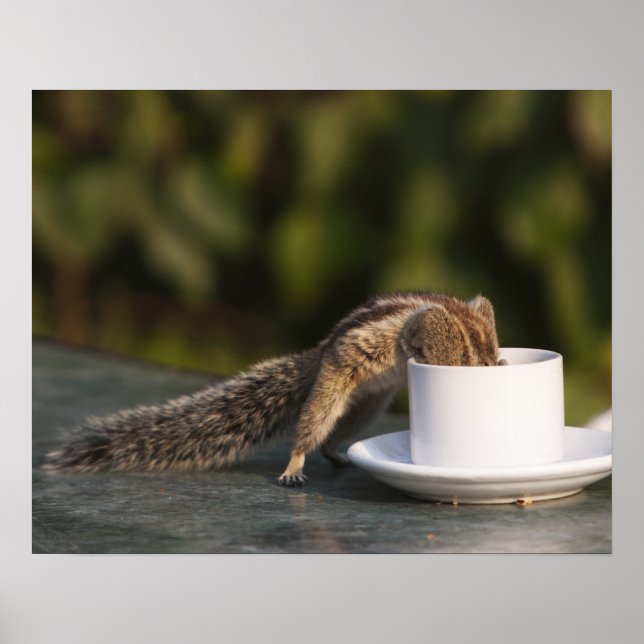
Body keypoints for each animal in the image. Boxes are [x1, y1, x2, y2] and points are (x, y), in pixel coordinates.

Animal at [43, 292, 504, 486]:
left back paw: (336, 454)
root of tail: (318, 355)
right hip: (334, 384)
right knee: (311, 427)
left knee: (334, 435)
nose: (495, 365)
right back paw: (294, 467)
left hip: (367, 405)